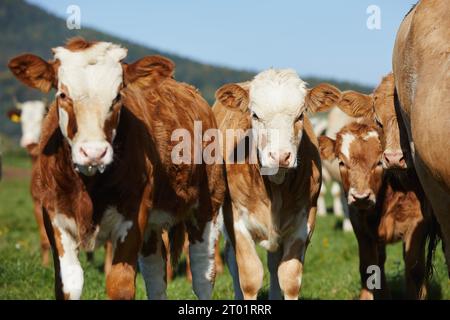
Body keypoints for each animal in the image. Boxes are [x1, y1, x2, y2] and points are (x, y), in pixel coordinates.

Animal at [9, 38, 229, 300]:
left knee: (203, 271)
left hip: (208, 204)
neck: (90, 185)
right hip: (154, 226)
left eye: (117, 97)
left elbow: (120, 285)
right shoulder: (53, 215)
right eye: (63, 94)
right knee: (156, 272)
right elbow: (68, 284)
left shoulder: (134, 215)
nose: (93, 152)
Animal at [213, 69, 340, 298]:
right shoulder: (235, 221)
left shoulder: (304, 220)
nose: (280, 156)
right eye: (255, 115)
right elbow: (249, 278)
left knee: (273, 265)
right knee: (232, 262)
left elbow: (289, 278)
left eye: (300, 115)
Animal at [318, 120, 434, 300]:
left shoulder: (417, 224)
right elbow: (369, 267)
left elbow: (414, 268)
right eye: (342, 162)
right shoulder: (361, 227)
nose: (360, 197)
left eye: (379, 162)